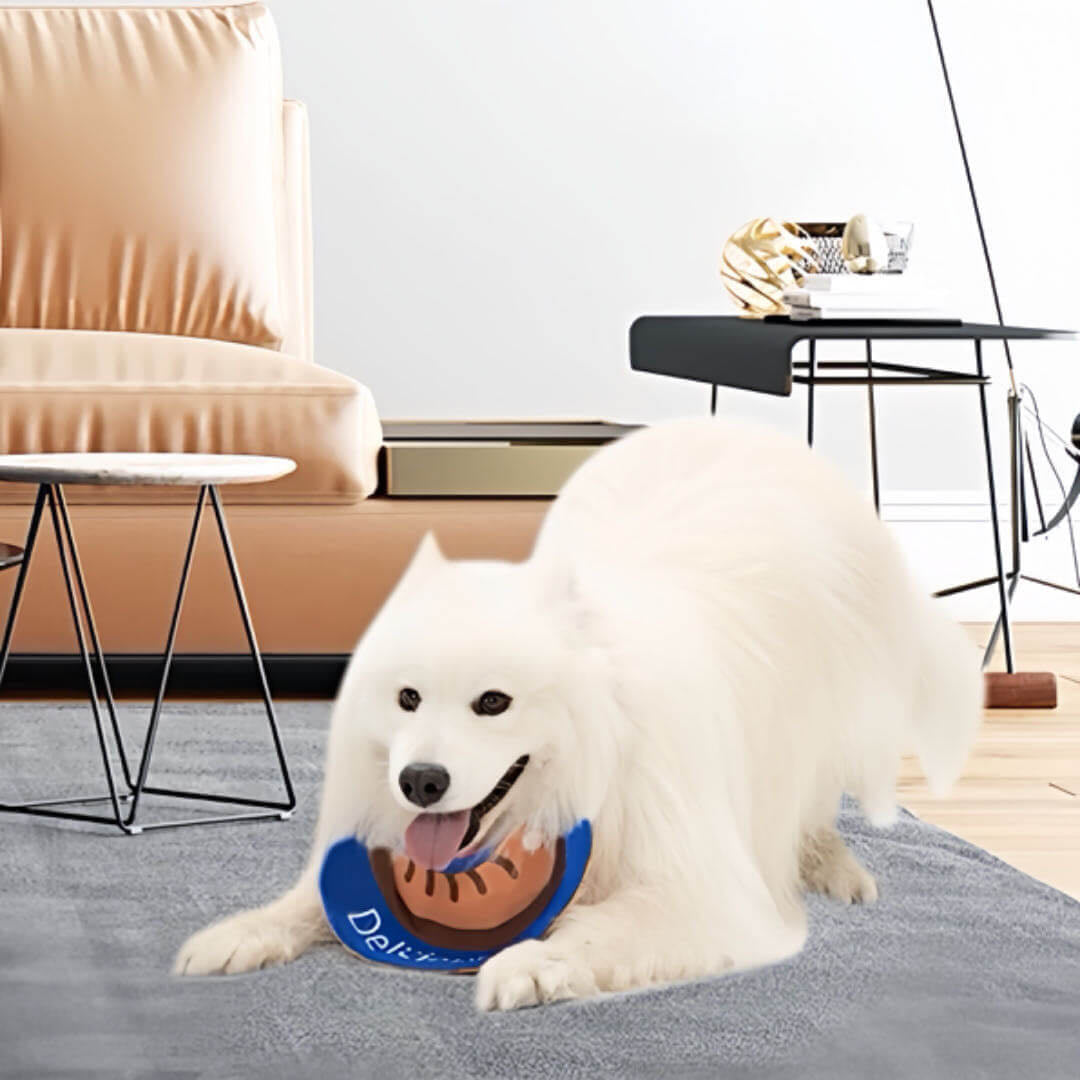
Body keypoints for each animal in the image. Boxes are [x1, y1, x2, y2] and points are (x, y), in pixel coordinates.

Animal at [174, 416, 980, 1006]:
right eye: (407, 699)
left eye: (493, 702)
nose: (420, 782)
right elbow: (304, 902)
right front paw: (235, 935)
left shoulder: (701, 894)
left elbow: (601, 931)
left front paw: (529, 965)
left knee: (812, 805)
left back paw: (837, 870)